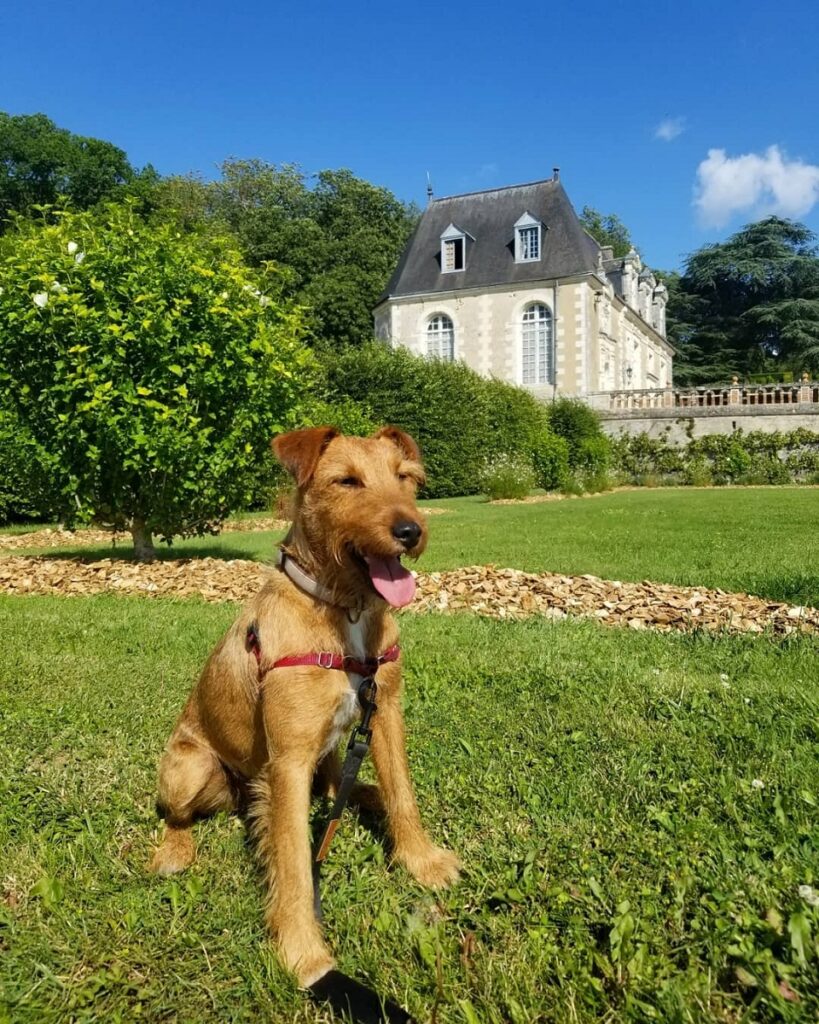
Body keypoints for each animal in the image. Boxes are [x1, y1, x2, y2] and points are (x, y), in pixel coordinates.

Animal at [149, 423, 460, 983]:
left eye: (405, 477)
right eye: (347, 481)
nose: (410, 531)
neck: (344, 609)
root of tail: (240, 794)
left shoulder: (386, 713)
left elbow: (403, 793)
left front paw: (421, 861)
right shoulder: (288, 761)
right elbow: (294, 860)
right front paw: (302, 950)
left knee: (340, 782)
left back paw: (365, 795)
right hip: (190, 766)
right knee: (178, 814)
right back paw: (175, 849)